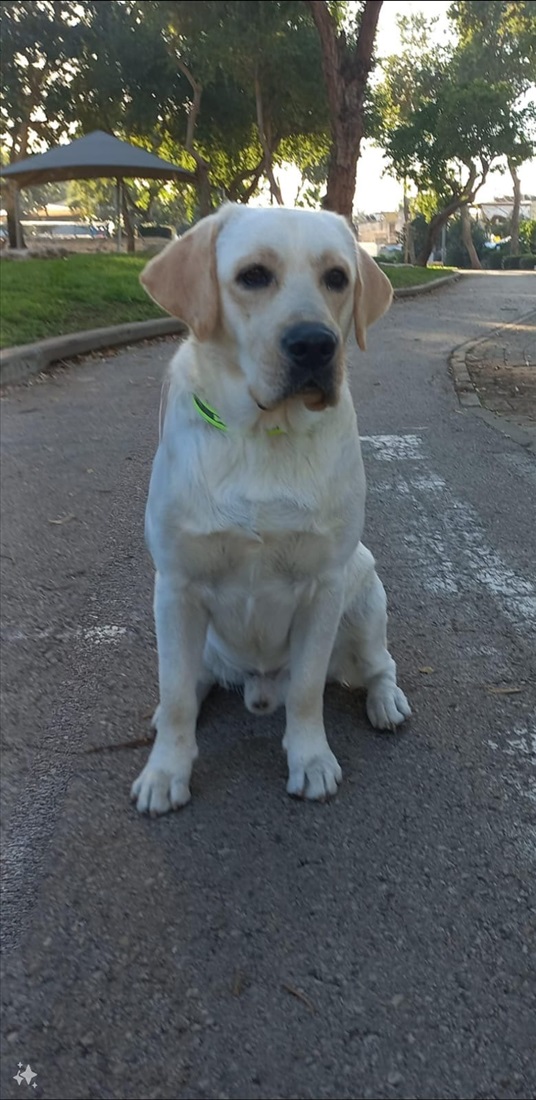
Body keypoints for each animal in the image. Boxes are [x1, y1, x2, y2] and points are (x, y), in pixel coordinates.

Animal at [130, 204, 411, 818]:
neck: (263, 434)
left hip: (364, 590)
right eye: (253, 275)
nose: (315, 345)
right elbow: (176, 692)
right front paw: (165, 772)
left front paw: (311, 761)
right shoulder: (176, 584)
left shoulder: (325, 585)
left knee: (378, 664)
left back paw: (387, 702)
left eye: (337, 278)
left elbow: (306, 691)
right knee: (189, 684)